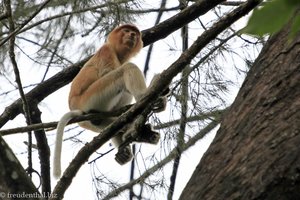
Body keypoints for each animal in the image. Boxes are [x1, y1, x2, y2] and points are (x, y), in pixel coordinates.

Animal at [52, 24, 168, 179]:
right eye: (126, 30)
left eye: (135, 33)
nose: (132, 35)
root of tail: (75, 107)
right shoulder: (106, 51)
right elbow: (110, 72)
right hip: (92, 97)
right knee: (126, 69)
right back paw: (146, 94)